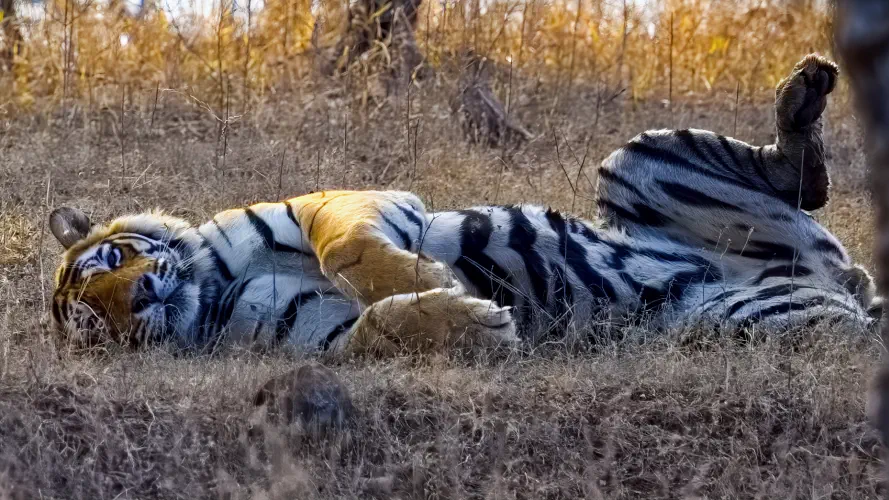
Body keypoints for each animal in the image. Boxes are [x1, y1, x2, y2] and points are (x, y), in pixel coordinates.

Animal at [48, 54, 880, 355]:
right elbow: (378, 329)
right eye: (91, 322)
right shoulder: (318, 337)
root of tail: (835, 279)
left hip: (636, 160)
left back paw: (805, 90)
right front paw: (474, 321)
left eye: (111, 258)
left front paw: (435, 281)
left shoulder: (343, 201)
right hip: (763, 323)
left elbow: (349, 249)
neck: (212, 289)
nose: (141, 297)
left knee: (797, 174)